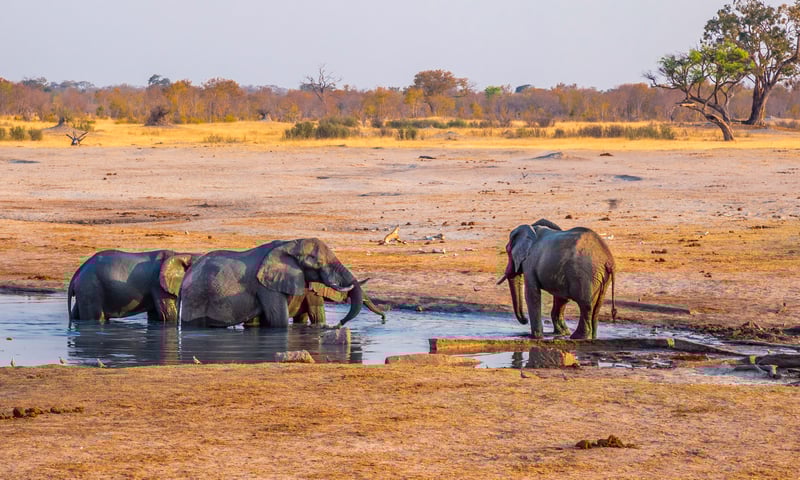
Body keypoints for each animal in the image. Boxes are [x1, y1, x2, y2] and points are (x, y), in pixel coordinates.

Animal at [67, 249, 197, 323]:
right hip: (90, 288)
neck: (181, 254)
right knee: (96, 317)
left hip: (85, 290)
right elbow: (167, 314)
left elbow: (156, 315)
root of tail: (78, 271)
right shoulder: (158, 285)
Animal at [178, 238, 367, 328]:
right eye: (318, 262)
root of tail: (185, 279)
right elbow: (278, 320)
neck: (290, 244)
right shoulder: (265, 286)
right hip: (196, 298)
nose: (340, 323)